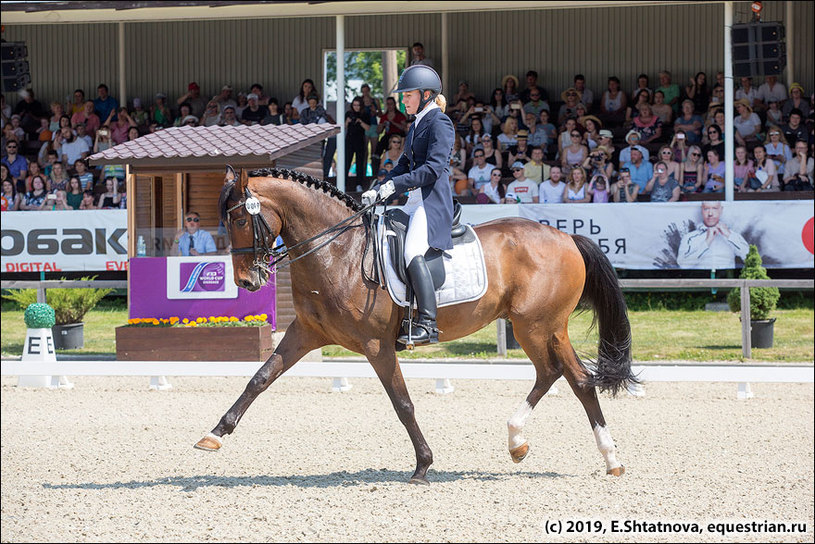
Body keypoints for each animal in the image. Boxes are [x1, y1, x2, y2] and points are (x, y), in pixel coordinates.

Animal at [196, 167, 636, 484]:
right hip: (542, 327)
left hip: (537, 326)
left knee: (565, 376)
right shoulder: (304, 333)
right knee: (567, 377)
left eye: (240, 218)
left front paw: (423, 466)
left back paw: (583, 452)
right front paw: (214, 434)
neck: (338, 251)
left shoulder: (376, 345)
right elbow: (259, 378)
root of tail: (565, 236)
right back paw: (558, 450)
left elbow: (402, 403)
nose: (246, 281)